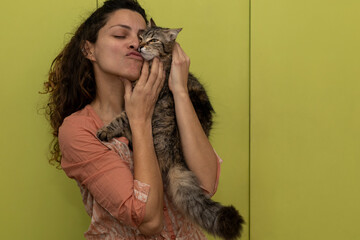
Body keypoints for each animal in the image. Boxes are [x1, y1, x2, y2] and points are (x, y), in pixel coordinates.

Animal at [96, 19, 245, 240]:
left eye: (153, 40)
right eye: (140, 37)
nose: (139, 47)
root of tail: (176, 158)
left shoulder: (139, 102)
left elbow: (120, 118)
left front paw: (105, 130)